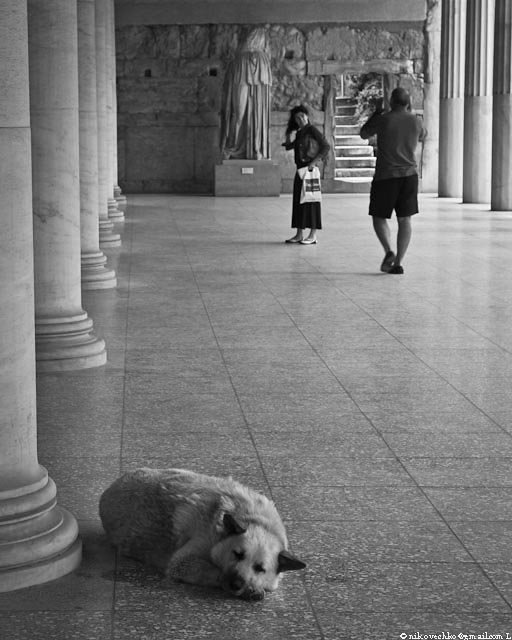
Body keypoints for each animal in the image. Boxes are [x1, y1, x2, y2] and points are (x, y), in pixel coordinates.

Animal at [102, 464, 306, 600]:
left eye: (260, 569)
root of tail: (109, 489)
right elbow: (207, 569)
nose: (235, 584)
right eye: (237, 554)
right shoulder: (183, 561)